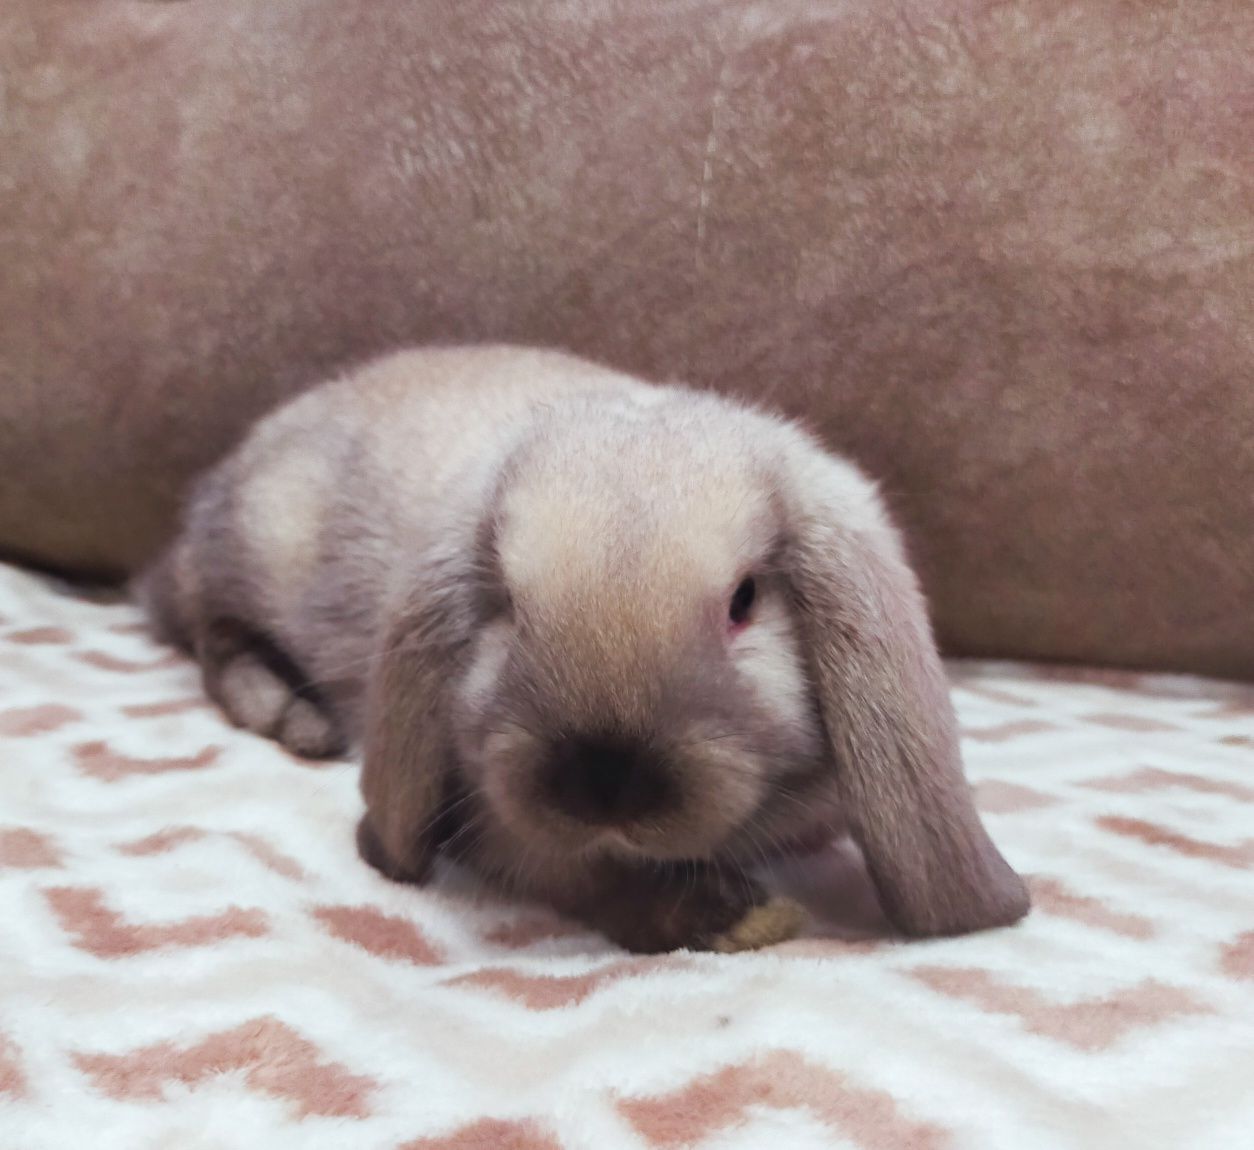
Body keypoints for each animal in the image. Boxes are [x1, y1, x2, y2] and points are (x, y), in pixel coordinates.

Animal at [142, 343, 1033, 953]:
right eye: (504, 602)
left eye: (745, 601)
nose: (605, 785)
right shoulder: (491, 816)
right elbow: (577, 874)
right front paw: (736, 916)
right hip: (250, 554)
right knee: (213, 638)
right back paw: (295, 719)